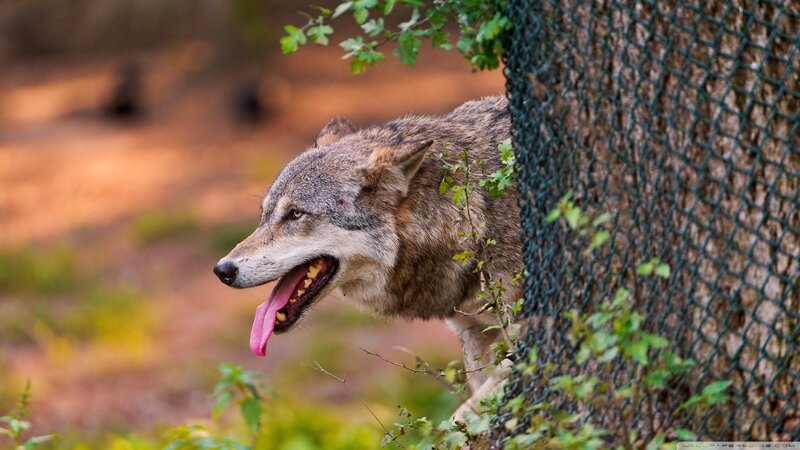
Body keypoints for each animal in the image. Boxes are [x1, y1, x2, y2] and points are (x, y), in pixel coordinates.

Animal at [213, 95, 522, 410]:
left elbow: (467, 412)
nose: (222, 270)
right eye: (264, 215)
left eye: (296, 214)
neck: (478, 214)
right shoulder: (472, 334)